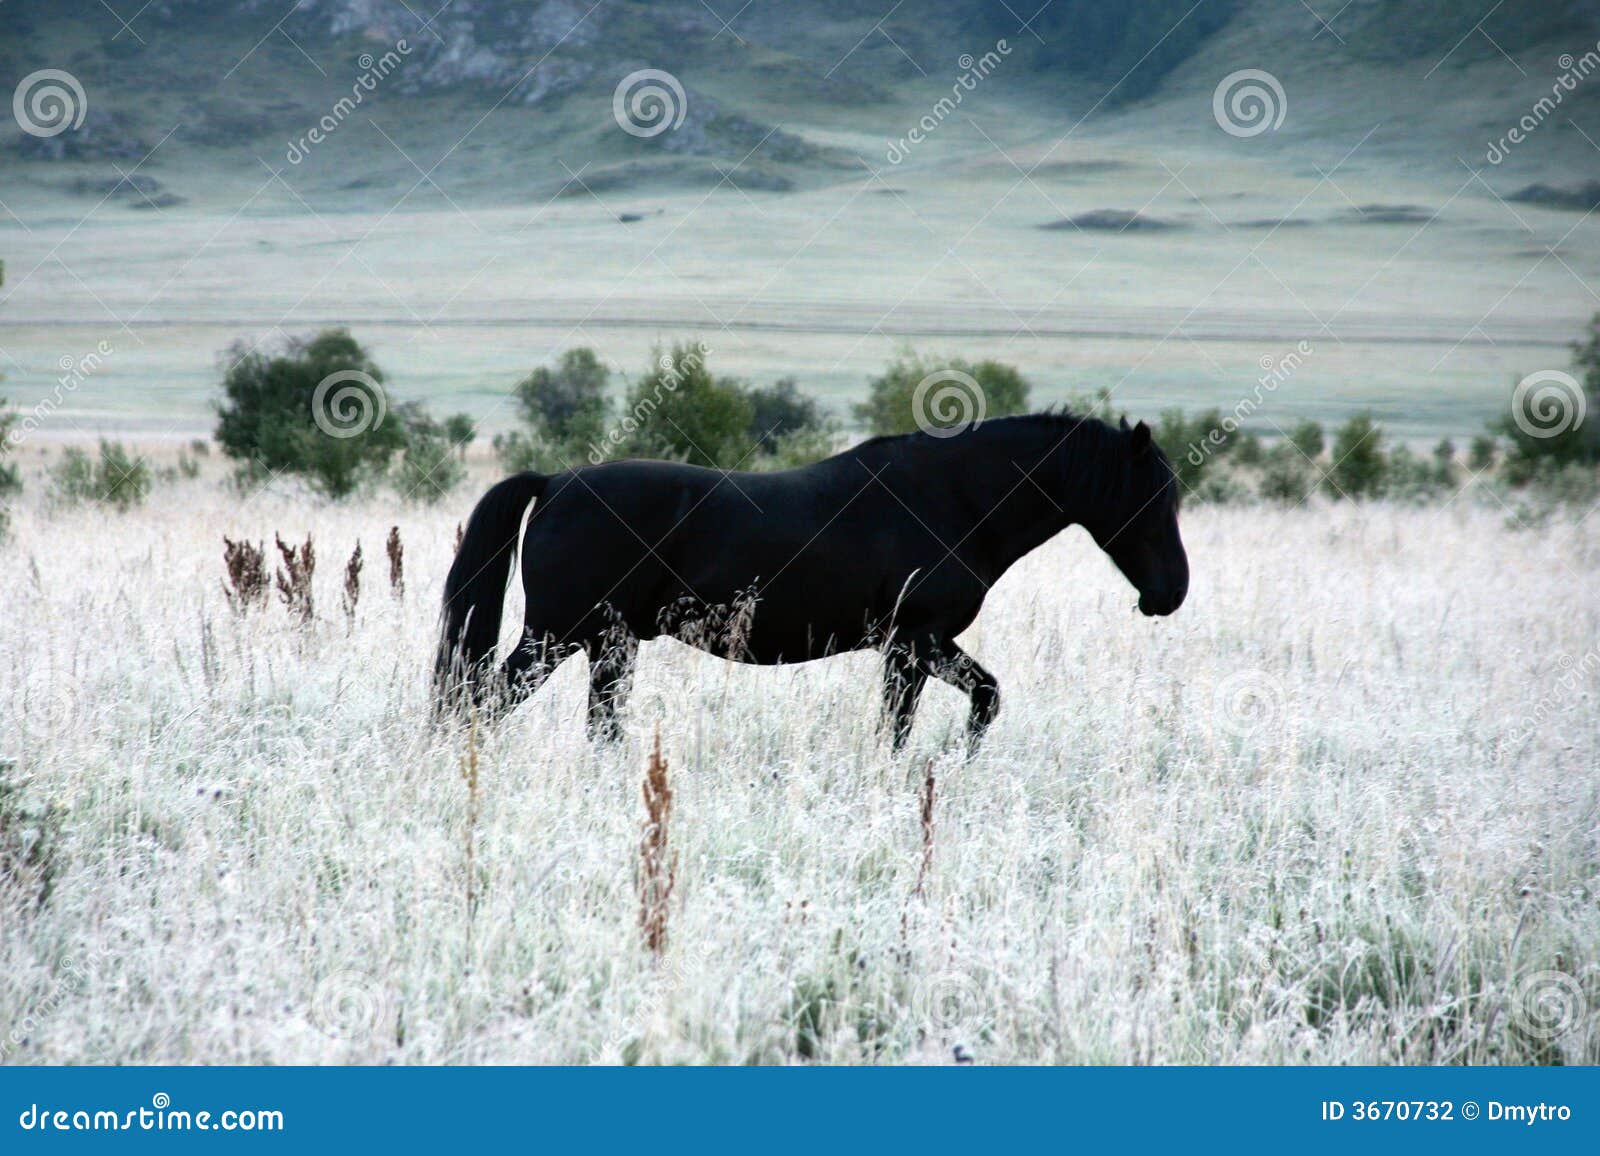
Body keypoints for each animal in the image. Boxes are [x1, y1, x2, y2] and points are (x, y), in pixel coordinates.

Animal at [438, 413, 1190, 746]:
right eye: (1150, 498)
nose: (1170, 593)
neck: (953, 499)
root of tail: (555, 483)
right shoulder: (914, 642)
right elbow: (911, 723)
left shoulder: (919, 646)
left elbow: (978, 701)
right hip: (559, 635)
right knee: (484, 703)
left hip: (606, 644)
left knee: (596, 726)